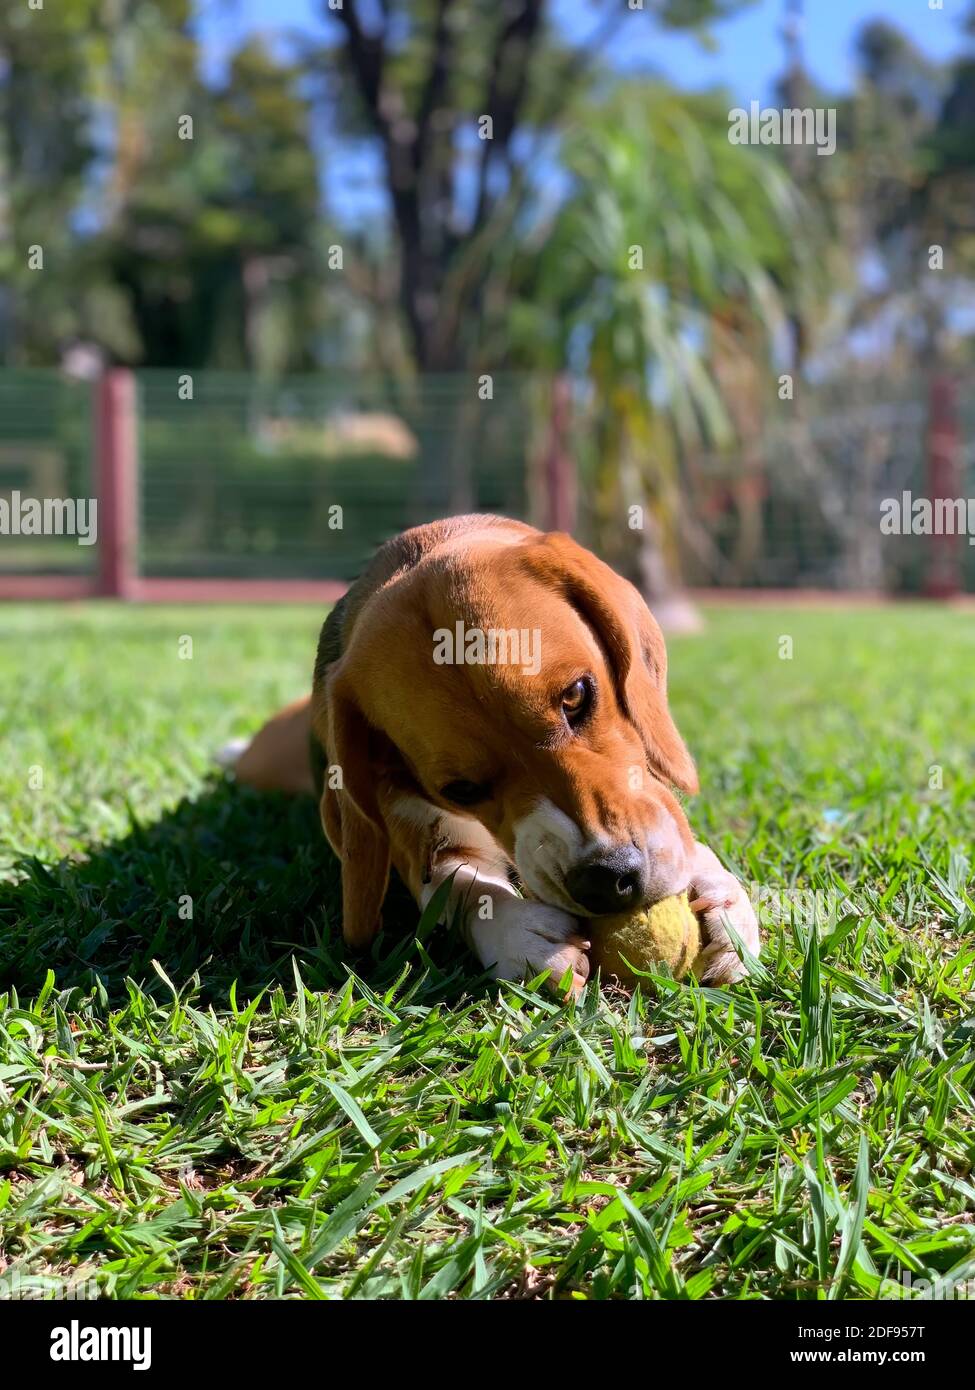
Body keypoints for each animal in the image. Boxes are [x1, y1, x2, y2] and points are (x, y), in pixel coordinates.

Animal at [223, 517, 756, 995]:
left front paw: (723, 899)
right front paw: (523, 934)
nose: (606, 880)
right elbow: (458, 885)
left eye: (576, 696)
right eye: (461, 790)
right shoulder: (417, 835)